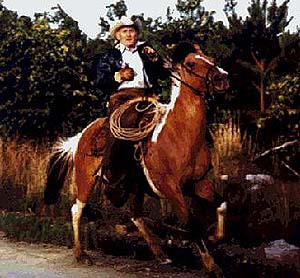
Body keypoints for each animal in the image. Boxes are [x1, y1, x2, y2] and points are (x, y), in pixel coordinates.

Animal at [43, 51, 229, 272]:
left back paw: (161, 255)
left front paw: (214, 238)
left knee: (135, 215)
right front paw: (211, 264)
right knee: (77, 210)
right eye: (191, 63)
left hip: (136, 187)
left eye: (211, 59)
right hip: (86, 179)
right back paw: (81, 255)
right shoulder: (170, 189)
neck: (180, 134)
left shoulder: (198, 183)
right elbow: (190, 222)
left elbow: (221, 205)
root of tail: (82, 135)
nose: (222, 78)